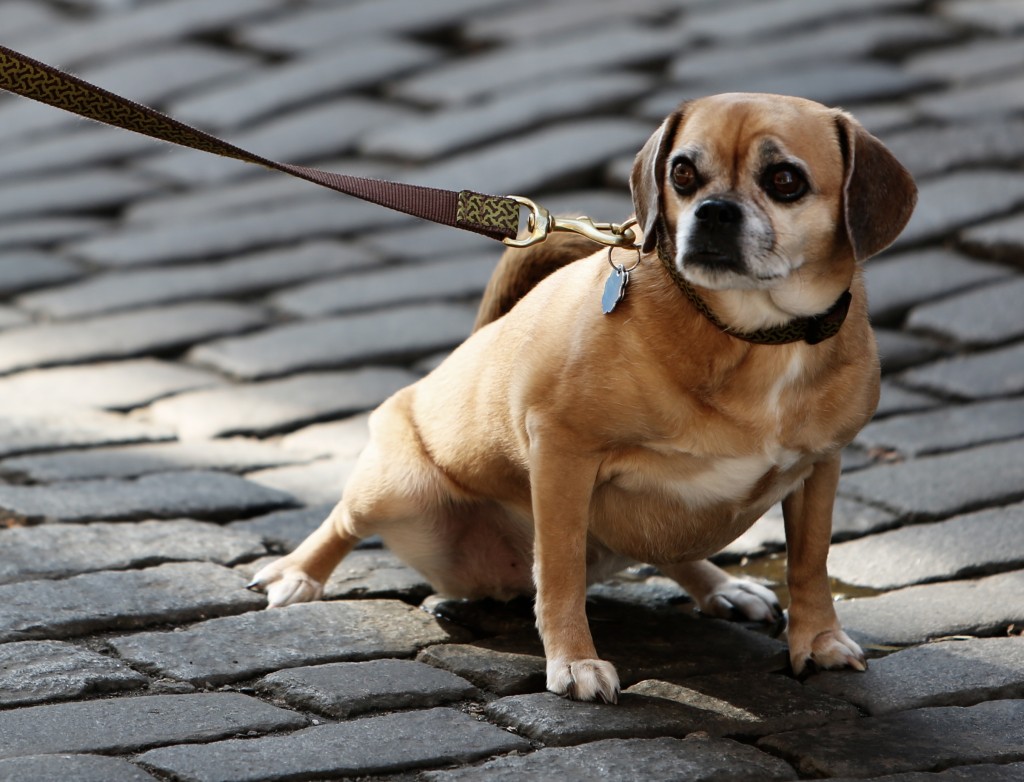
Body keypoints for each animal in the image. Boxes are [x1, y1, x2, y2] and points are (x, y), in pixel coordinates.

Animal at [249, 91, 921, 704]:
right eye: (683, 173)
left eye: (785, 180)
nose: (713, 212)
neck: (751, 336)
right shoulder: (563, 453)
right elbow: (561, 570)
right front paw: (573, 661)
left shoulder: (821, 467)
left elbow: (810, 562)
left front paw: (819, 641)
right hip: (396, 489)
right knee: (342, 520)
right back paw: (297, 575)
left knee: (670, 548)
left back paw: (721, 587)